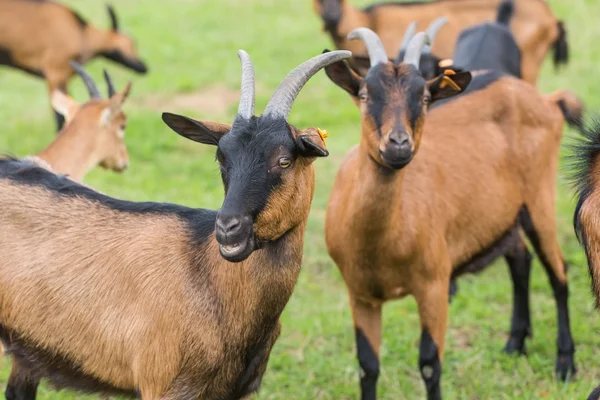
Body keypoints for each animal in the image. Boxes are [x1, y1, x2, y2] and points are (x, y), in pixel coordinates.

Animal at [326, 28, 576, 400]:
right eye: (365, 93)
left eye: (425, 97)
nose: (398, 144)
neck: (381, 243)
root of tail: (544, 100)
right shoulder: (360, 294)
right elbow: (367, 366)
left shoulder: (434, 284)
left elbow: (430, 363)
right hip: (504, 214)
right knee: (521, 261)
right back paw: (514, 344)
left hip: (539, 198)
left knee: (558, 274)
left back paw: (566, 365)